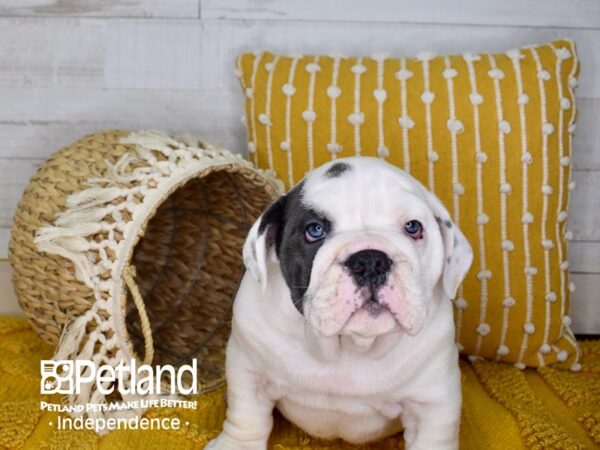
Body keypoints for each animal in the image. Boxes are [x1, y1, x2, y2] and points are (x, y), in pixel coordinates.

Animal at [206, 156, 474, 448]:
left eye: (413, 227)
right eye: (315, 230)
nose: (370, 260)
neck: (351, 345)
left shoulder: (433, 400)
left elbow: (434, 435)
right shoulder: (248, 368)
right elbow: (247, 414)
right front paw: (236, 443)